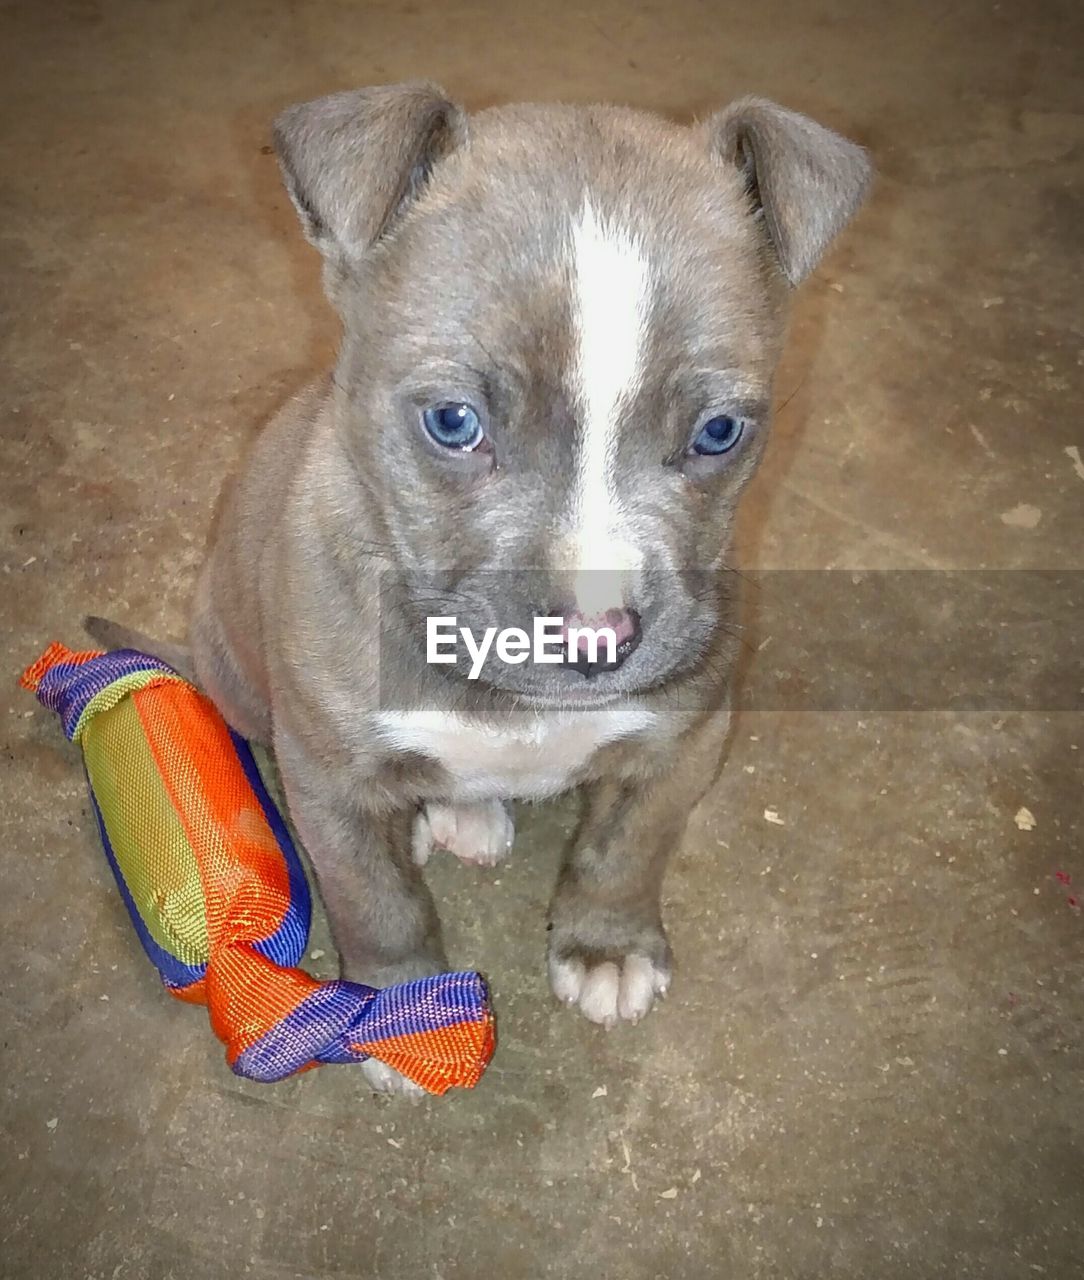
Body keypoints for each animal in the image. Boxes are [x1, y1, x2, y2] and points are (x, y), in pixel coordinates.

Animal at [88, 87, 870, 1090]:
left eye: (720, 432)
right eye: (453, 423)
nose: (597, 637)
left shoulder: (683, 741)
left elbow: (625, 852)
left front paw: (607, 947)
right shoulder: (329, 782)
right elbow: (377, 899)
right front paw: (400, 1010)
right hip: (239, 676)